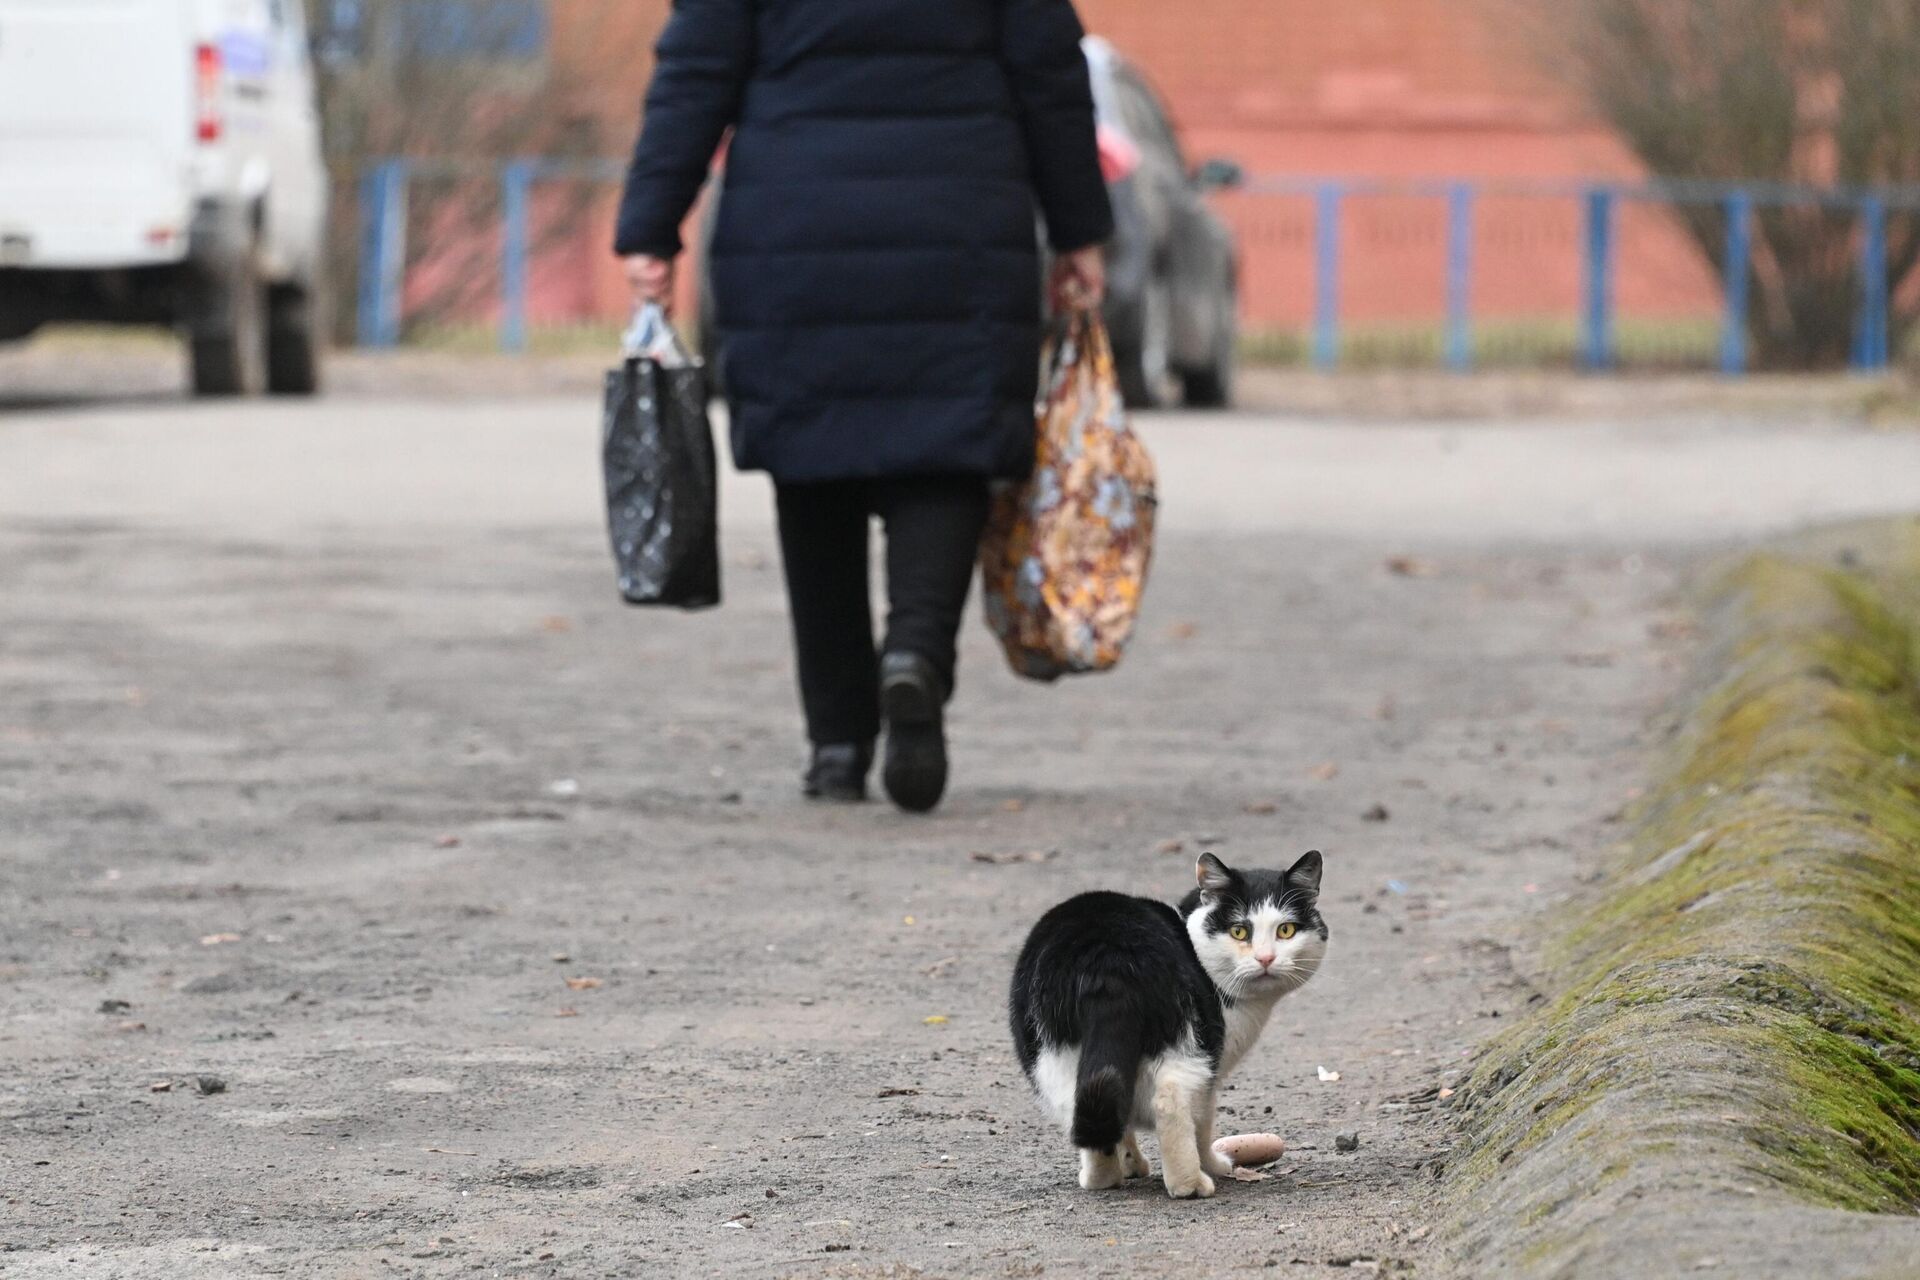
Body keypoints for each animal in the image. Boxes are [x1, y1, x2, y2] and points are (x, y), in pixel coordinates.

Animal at [1013, 852, 1328, 1205]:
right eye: (1239, 931)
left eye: (1286, 930)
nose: (1266, 959)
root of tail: (1107, 956)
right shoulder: (1212, 1068)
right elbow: (1202, 1122)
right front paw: (1215, 1165)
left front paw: (1130, 1163)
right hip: (1189, 1037)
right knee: (1170, 1099)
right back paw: (1189, 1184)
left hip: (1049, 1053)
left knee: (1085, 1099)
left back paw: (1101, 1178)